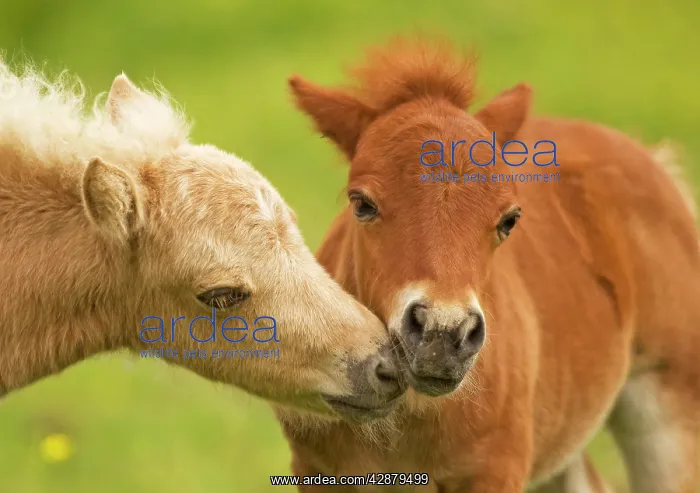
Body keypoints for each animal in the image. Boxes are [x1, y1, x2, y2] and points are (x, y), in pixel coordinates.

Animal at [276, 37, 700, 492]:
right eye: (362, 204)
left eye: (509, 220)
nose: (443, 334)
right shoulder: (316, 469)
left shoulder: (496, 469)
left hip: (671, 421)